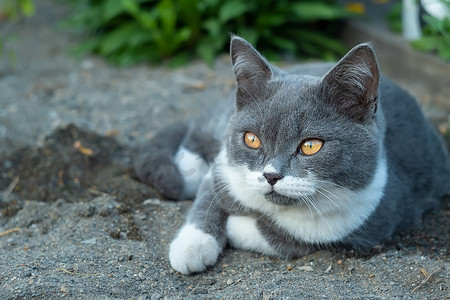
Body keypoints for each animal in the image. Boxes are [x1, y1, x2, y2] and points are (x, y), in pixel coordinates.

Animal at [134, 35, 450, 274]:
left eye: (310, 146)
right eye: (252, 139)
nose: (271, 175)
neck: (273, 208)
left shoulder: (371, 219)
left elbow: (284, 237)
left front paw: (236, 226)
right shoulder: (224, 169)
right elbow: (206, 199)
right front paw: (192, 247)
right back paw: (189, 169)